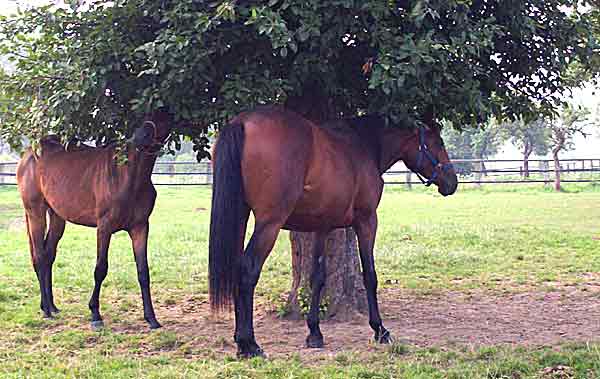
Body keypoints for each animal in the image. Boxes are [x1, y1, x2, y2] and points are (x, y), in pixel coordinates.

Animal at [16, 111, 175, 332]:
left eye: (165, 118)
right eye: (145, 116)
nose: (140, 137)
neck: (128, 175)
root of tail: (30, 152)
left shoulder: (140, 227)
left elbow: (143, 272)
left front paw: (151, 318)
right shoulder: (104, 228)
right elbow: (100, 269)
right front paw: (95, 314)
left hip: (57, 217)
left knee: (48, 256)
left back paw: (52, 306)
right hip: (35, 213)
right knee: (39, 256)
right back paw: (47, 310)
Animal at [209, 106, 458, 360]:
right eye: (438, 143)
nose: (452, 182)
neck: (364, 145)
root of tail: (242, 122)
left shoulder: (322, 227)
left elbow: (317, 278)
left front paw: (314, 333)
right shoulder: (367, 221)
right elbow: (370, 275)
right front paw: (380, 330)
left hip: (241, 215)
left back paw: (240, 340)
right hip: (270, 224)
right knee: (248, 270)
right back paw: (249, 344)